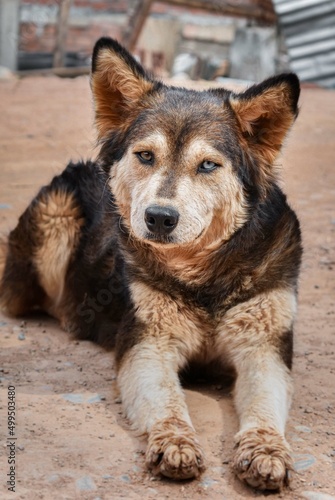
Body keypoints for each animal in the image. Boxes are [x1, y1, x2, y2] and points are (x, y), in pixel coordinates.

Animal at [0, 37, 304, 490]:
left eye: (208, 165)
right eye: (146, 156)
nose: (159, 217)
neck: (201, 276)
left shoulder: (263, 348)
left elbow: (265, 408)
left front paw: (266, 451)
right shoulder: (148, 344)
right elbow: (167, 400)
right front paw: (175, 443)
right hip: (54, 220)